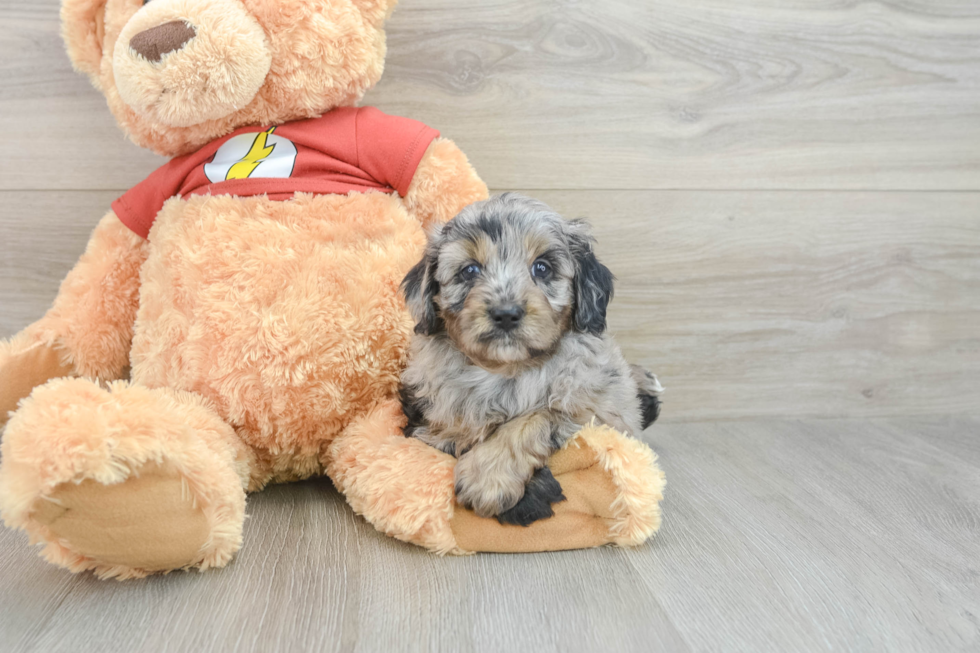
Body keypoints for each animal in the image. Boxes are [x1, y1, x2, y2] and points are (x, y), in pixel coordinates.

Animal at [400, 190, 668, 524]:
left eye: (542, 268)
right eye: (470, 270)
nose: (505, 314)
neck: (510, 370)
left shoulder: (606, 415)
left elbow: (538, 415)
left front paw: (488, 476)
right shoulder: (426, 416)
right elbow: (458, 429)